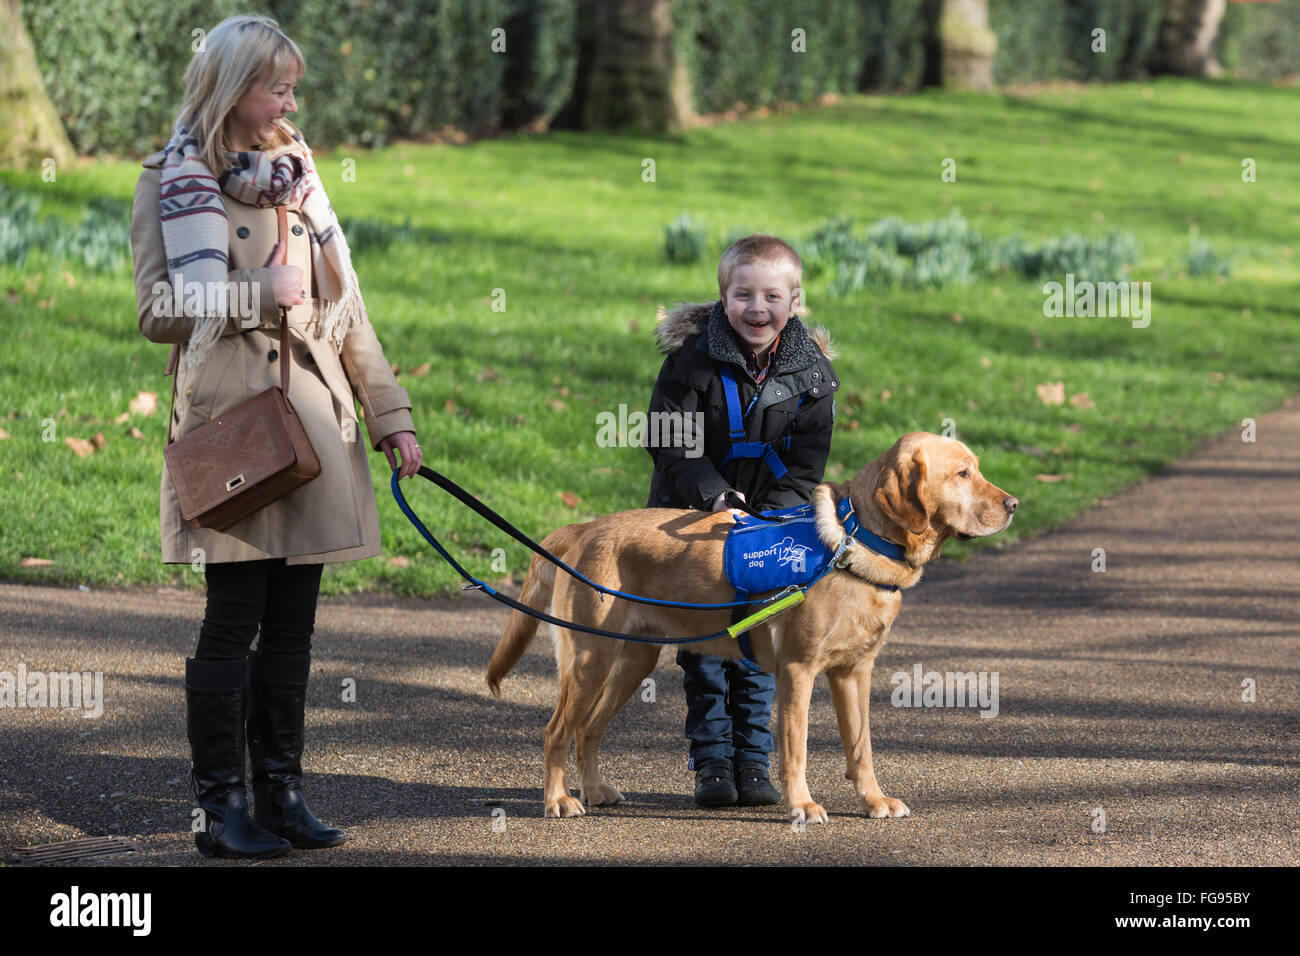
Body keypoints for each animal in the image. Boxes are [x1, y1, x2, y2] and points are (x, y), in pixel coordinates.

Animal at [486, 434, 1013, 822]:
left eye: (978, 468)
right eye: (962, 474)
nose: (1015, 504)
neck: (856, 541)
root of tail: (582, 528)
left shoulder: (853, 673)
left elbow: (861, 749)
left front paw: (873, 801)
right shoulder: (798, 670)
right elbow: (796, 749)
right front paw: (802, 805)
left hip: (632, 660)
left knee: (588, 730)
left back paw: (594, 791)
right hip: (589, 661)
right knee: (557, 731)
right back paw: (558, 800)